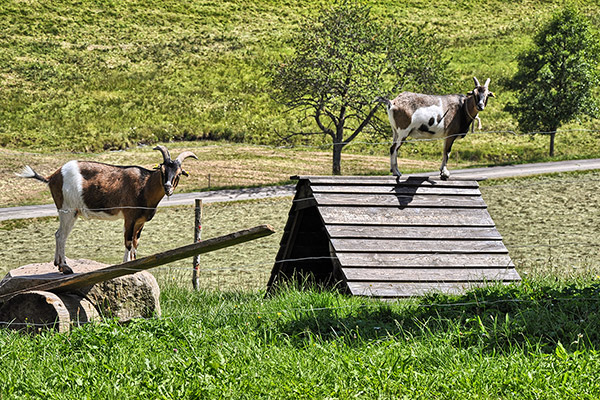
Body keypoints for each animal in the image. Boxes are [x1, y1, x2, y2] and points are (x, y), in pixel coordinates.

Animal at [17, 145, 197, 274]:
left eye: (179, 173)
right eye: (162, 170)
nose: (167, 188)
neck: (144, 186)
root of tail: (53, 177)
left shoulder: (140, 222)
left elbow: (136, 242)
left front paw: (136, 264)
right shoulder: (129, 217)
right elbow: (128, 241)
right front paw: (126, 264)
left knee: (57, 234)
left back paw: (58, 265)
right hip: (67, 209)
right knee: (61, 235)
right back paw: (65, 267)